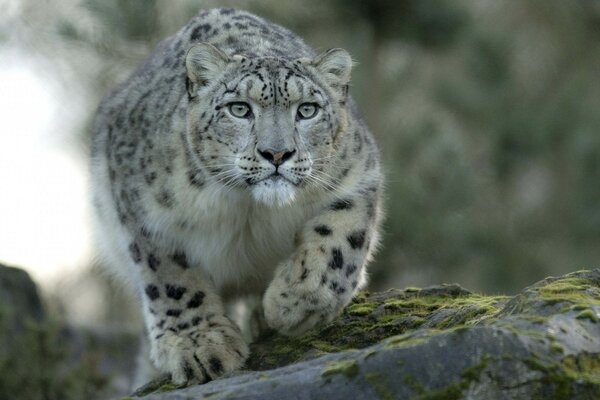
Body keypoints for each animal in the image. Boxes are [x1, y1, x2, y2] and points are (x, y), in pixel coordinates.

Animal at [91, 7, 382, 386]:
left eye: (307, 110)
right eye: (239, 109)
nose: (277, 153)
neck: (249, 210)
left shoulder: (359, 176)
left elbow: (339, 240)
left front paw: (294, 303)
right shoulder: (143, 213)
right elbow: (170, 278)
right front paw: (200, 347)